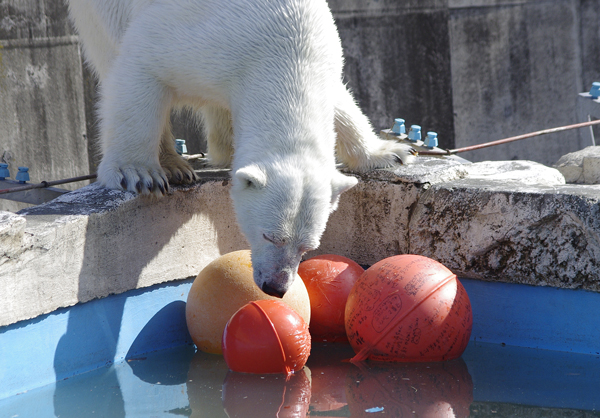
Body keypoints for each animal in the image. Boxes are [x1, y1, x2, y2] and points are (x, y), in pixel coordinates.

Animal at [68, 0, 414, 298]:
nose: (276, 287)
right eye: (269, 235)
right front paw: (137, 173)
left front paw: (390, 153)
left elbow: (340, 101)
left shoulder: (320, 55)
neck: (286, 48)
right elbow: (140, 66)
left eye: (308, 247)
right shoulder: (200, 38)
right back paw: (173, 165)